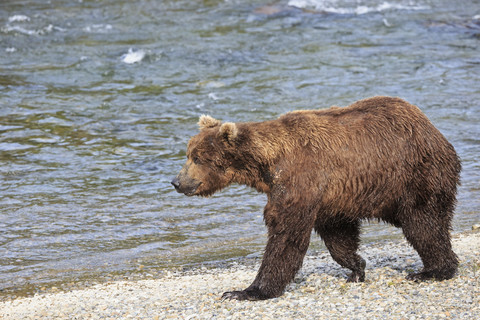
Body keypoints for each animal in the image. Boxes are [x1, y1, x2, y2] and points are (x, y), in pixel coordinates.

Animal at [172, 95, 462, 300]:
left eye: (197, 158)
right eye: (188, 154)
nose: (176, 182)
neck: (267, 165)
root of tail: (431, 127)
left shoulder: (300, 180)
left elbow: (285, 236)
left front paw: (246, 291)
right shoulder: (331, 198)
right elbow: (338, 235)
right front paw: (356, 267)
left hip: (414, 174)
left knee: (423, 223)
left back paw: (433, 271)